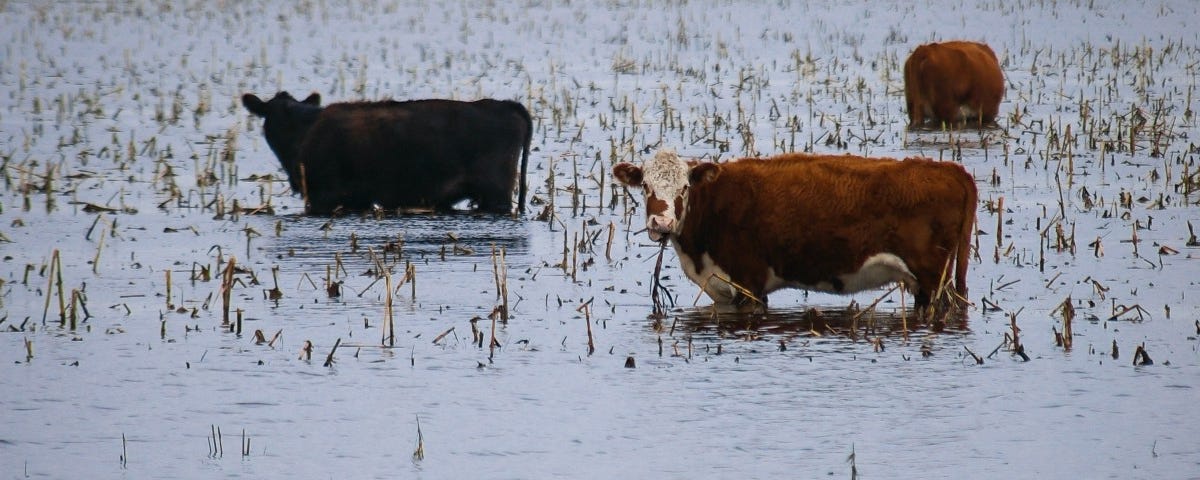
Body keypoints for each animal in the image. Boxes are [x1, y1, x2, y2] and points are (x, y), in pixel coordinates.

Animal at [614, 150, 979, 307]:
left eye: (684, 188)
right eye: (645, 186)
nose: (661, 223)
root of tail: (951, 170)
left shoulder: (749, 284)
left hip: (933, 277)